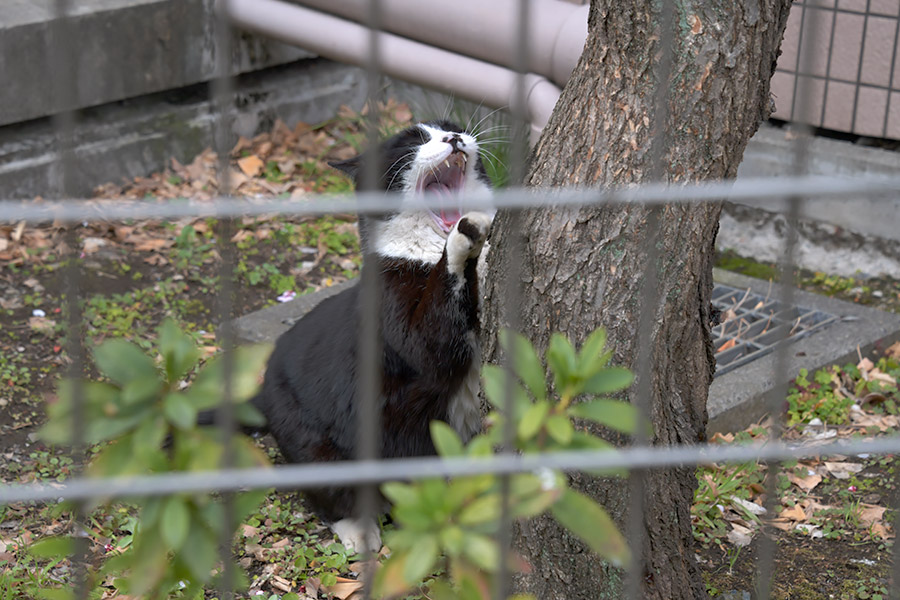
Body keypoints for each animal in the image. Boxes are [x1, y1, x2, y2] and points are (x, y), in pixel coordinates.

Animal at [250, 120, 496, 552]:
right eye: (413, 141)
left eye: (452, 128)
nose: (452, 139)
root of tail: (262, 393)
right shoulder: (399, 313)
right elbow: (434, 335)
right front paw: (464, 235)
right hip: (316, 446)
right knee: (332, 496)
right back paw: (360, 531)